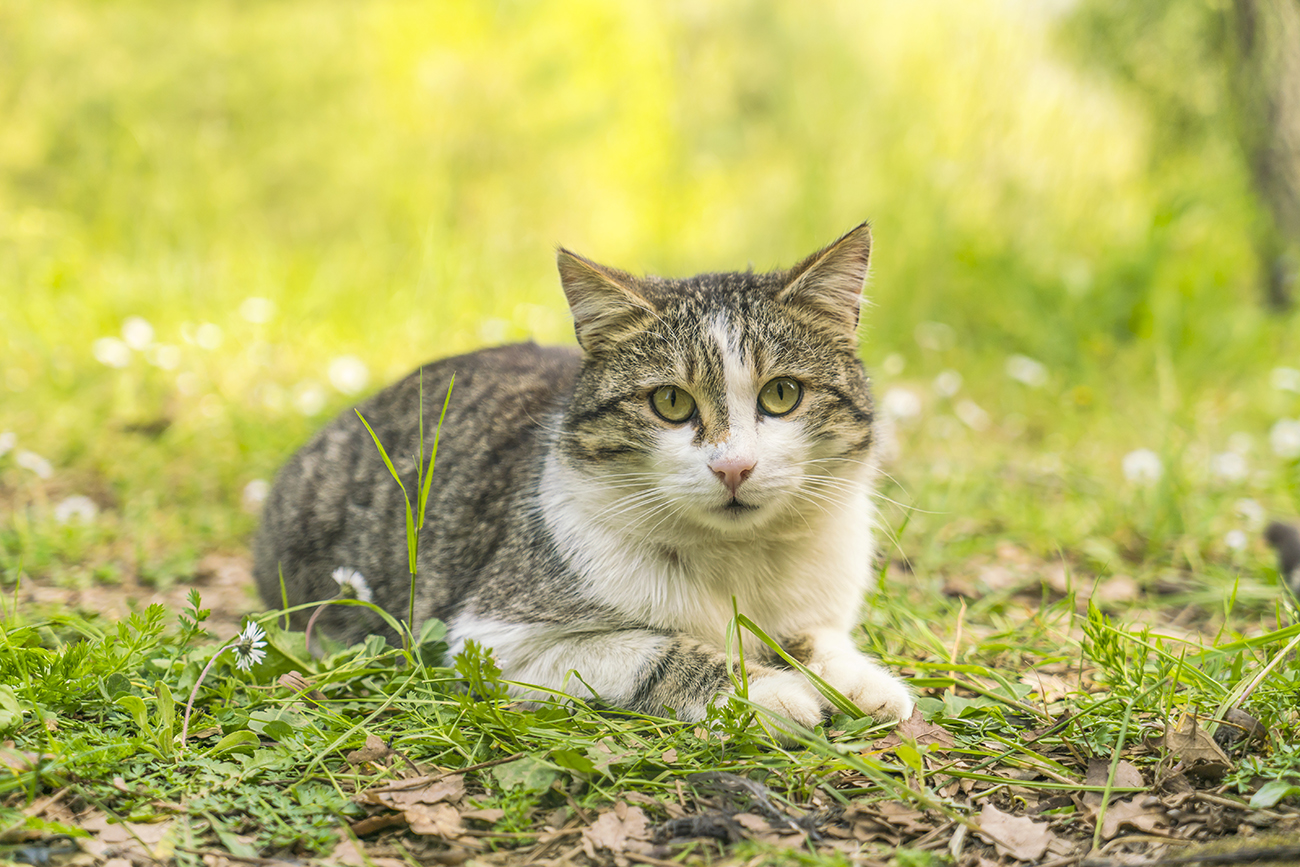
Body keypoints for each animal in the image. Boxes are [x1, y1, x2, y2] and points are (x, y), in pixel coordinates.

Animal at [253, 226, 915, 733]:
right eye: (671, 402)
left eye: (782, 395)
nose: (734, 466)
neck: (737, 562)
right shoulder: (491, 640)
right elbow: (659, 651)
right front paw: (771, 692)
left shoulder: (816, 607)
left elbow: (817, 640)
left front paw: (863, 681)